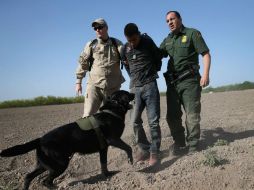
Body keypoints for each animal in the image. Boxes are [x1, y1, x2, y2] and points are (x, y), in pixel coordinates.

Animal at [0, 90, 135, 189]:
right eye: (127, 94)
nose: (134, 93)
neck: (112, 111)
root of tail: (40, 139)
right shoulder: (113, 140)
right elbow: (129, 148)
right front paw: (131, 162)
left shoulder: (103, 149)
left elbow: (104, 164)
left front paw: (107, 175)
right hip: (60, 163)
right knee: (45, 181)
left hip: (45, 164)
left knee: (28, 176)